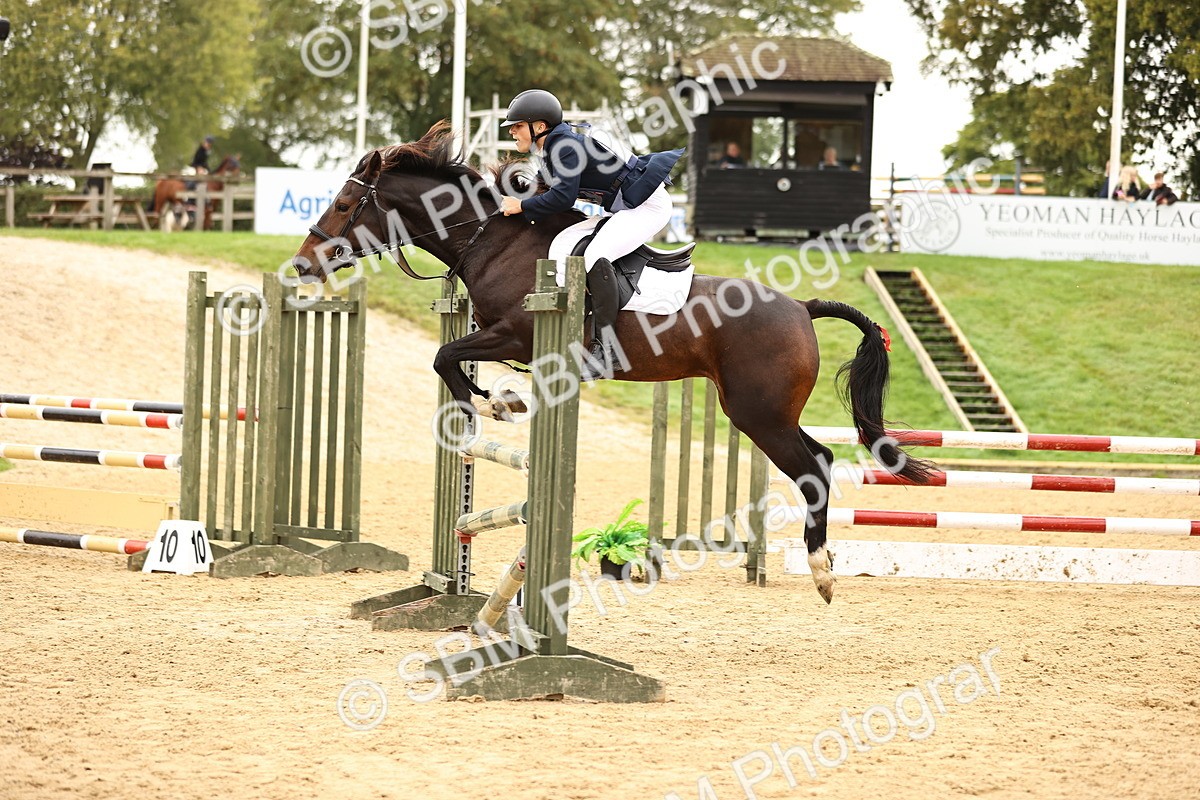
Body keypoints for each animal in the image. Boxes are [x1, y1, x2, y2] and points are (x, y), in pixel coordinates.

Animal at [290, 121, 932, 604]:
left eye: (344, 204)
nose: (301, 266)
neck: (493, 241)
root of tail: (801, 306)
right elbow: (450, 360)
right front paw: (500, 401)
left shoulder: (515, 336)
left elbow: (445, 357)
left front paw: (497, 405)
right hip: (765, 411)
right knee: (820, 456)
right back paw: (822, 566)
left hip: (758, 414)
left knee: (812, 470)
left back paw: (822, 571)